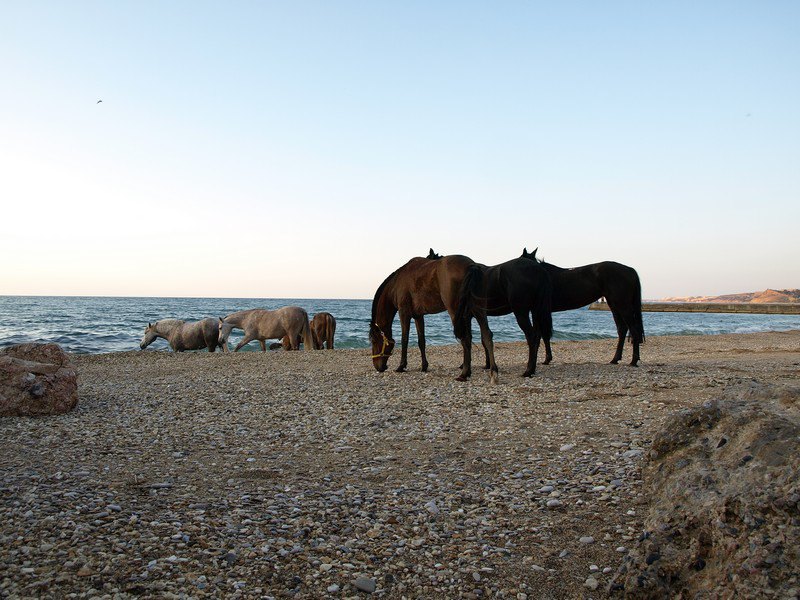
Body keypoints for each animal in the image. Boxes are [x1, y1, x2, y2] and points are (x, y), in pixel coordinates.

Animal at [520, 247, 648, 366]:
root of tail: (630, 270)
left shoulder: (538, 311)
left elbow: (541, 334)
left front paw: (544, 360)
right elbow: (543, 334)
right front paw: (546, 359)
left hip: (623, 305)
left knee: (633, 330)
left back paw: (633, 361)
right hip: (614, 305)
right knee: (622, 329)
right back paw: (615, 359)